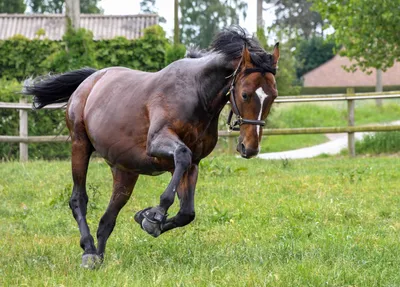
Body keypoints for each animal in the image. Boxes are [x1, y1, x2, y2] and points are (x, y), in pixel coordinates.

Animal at [23, 25, 280, 268]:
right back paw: (88, 252)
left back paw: (99, 256)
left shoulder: (193, 164)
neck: (197, 93)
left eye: (273, 96)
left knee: (107, 219)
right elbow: (181, 156)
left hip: (124, 171)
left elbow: (187, 212)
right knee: (78, 199)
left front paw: (145, 217)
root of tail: (92, 79)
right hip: (80, 145)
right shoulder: (158, 143)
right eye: (245, 94)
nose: (250, 148)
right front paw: (154, 215)